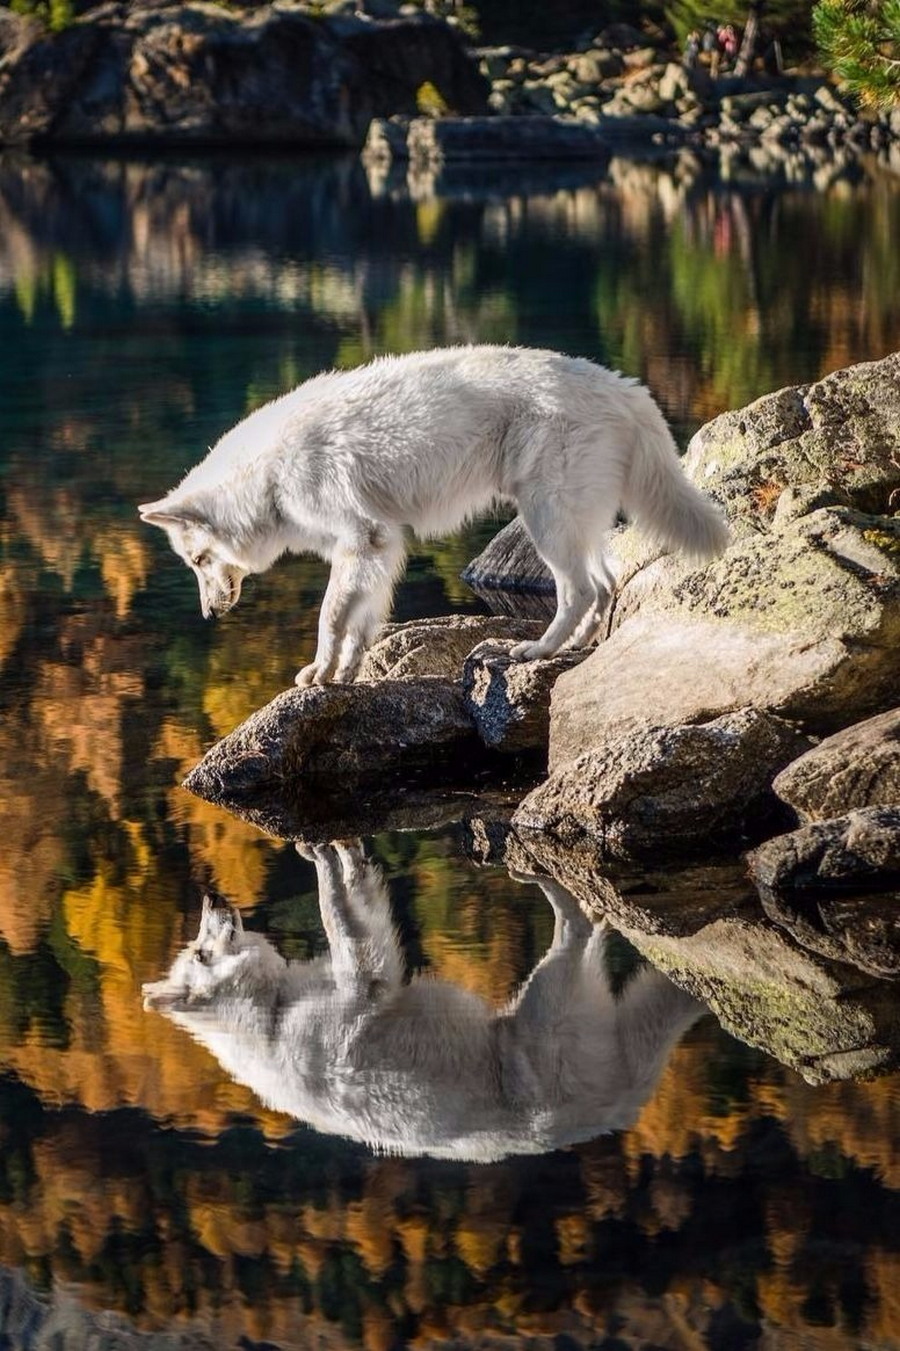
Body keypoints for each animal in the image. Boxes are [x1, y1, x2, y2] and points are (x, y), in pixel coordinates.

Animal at [140, 348, 729, 686]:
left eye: (197, 560)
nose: (209, 616)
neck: (269, 477)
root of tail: (626, 387)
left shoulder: (366, 541)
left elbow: (330, 618)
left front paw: (319, 672)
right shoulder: (375, 551)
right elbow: (361, 623)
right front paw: (345, 674)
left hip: (546, 522)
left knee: (579, 591)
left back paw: (536, 650)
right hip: (576, 525)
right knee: (605, 584)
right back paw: (576, 648)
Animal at [141, 843, 702, 1161]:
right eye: (202, 951)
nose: (211, 898)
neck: (271, 1020)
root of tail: (615, 1112)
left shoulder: (366, 973)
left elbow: (346, 898)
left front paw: (335, 853)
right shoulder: (368, 979)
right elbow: (336, 910)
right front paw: (328, 858)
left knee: (591, 922)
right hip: (547, 1000)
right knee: (576, 924)